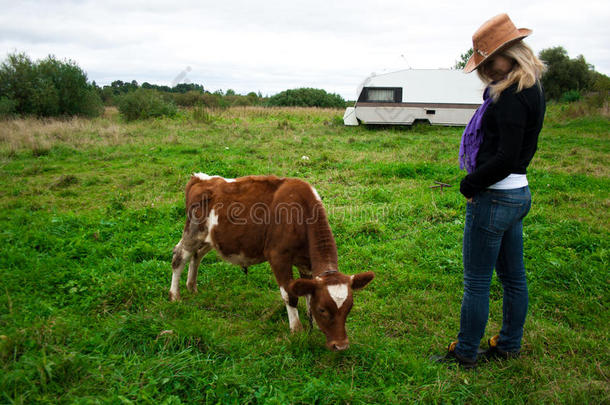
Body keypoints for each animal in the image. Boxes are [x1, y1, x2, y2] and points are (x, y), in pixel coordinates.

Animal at [169, 172, 372, 348]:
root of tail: (199, 178)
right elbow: (290, 295)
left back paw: (192, 286)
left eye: (349, 307)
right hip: (194, 230)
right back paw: (175, 296)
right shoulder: (278, 257)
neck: (301, 215)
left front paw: (311, 323)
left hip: (211, 237)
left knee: (197, 255)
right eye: (323, 309)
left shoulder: (306, 263)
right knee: (180, 256)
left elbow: (307, 293)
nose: (341, 345)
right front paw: (297, 330)